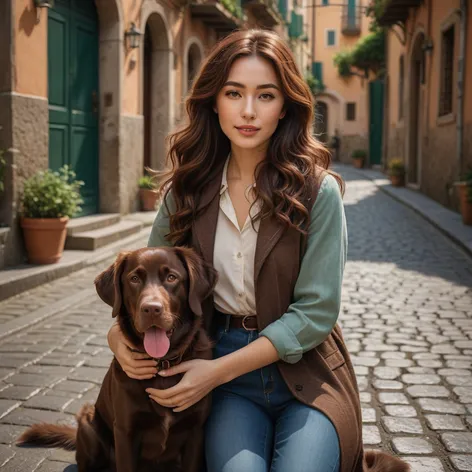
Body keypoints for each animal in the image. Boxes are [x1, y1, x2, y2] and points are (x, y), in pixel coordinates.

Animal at [16, 247, 218, 472]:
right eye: (134, 278)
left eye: (172, 277)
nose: (151, 309)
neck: (161, 364)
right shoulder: (125, 431)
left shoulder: (196, 431)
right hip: (88, 424)